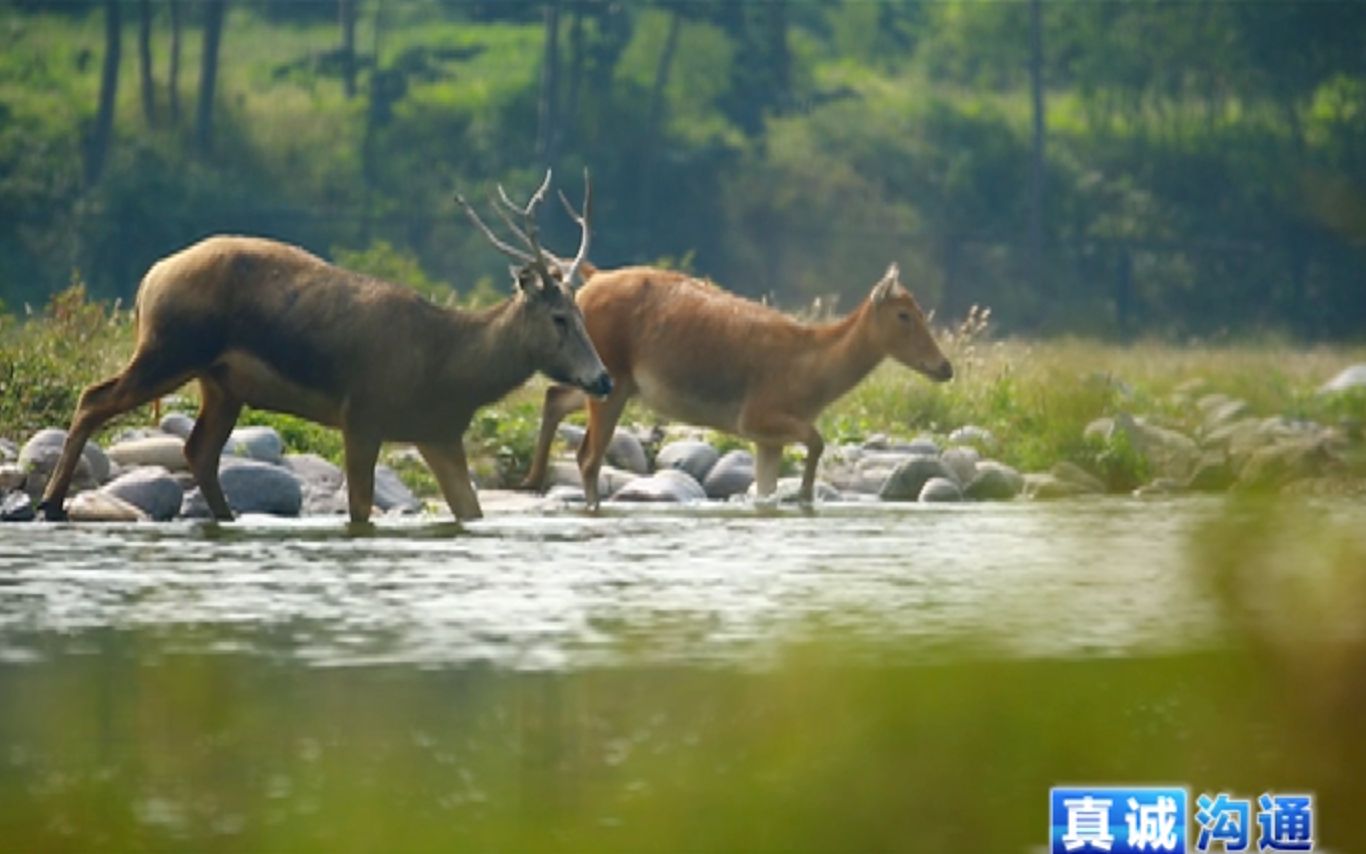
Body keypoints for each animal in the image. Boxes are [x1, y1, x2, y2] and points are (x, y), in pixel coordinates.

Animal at [38, 170, 609, 521]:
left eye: (584, 314)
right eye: (559, 318)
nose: (601, 379)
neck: (448, 370)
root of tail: (148, 279)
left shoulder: (438, 432)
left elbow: (470, 509)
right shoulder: (364, 413)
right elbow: (359, 509)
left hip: (221, 383)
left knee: (198, 450)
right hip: (169, 348)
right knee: (93, 397)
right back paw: (50, 503)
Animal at [519, 260, 950, 505]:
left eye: (921, 310)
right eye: (904, 314)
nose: (945, 367)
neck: (811, 379)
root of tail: (589, 282)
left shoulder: (767, 439)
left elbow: (766, 490)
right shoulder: (757, 415)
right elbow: (817, 441)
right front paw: (805, 497)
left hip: (606, 382)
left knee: (555, 397)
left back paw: (532, 480)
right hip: (614, 379)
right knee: (588, 459)